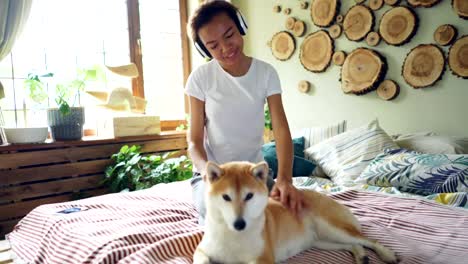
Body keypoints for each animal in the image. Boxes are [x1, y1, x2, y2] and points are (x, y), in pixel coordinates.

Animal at [192, 161, 396, 264]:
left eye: (249, 196)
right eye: (226, 197)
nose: (239, 223)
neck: (233, 236)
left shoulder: (263, 258)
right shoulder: (202, 250)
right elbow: (201, 259)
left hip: (334, 229)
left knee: (368, 240)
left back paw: (388, 255)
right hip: (322, 241)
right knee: (354, 245)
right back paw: (361, 256)